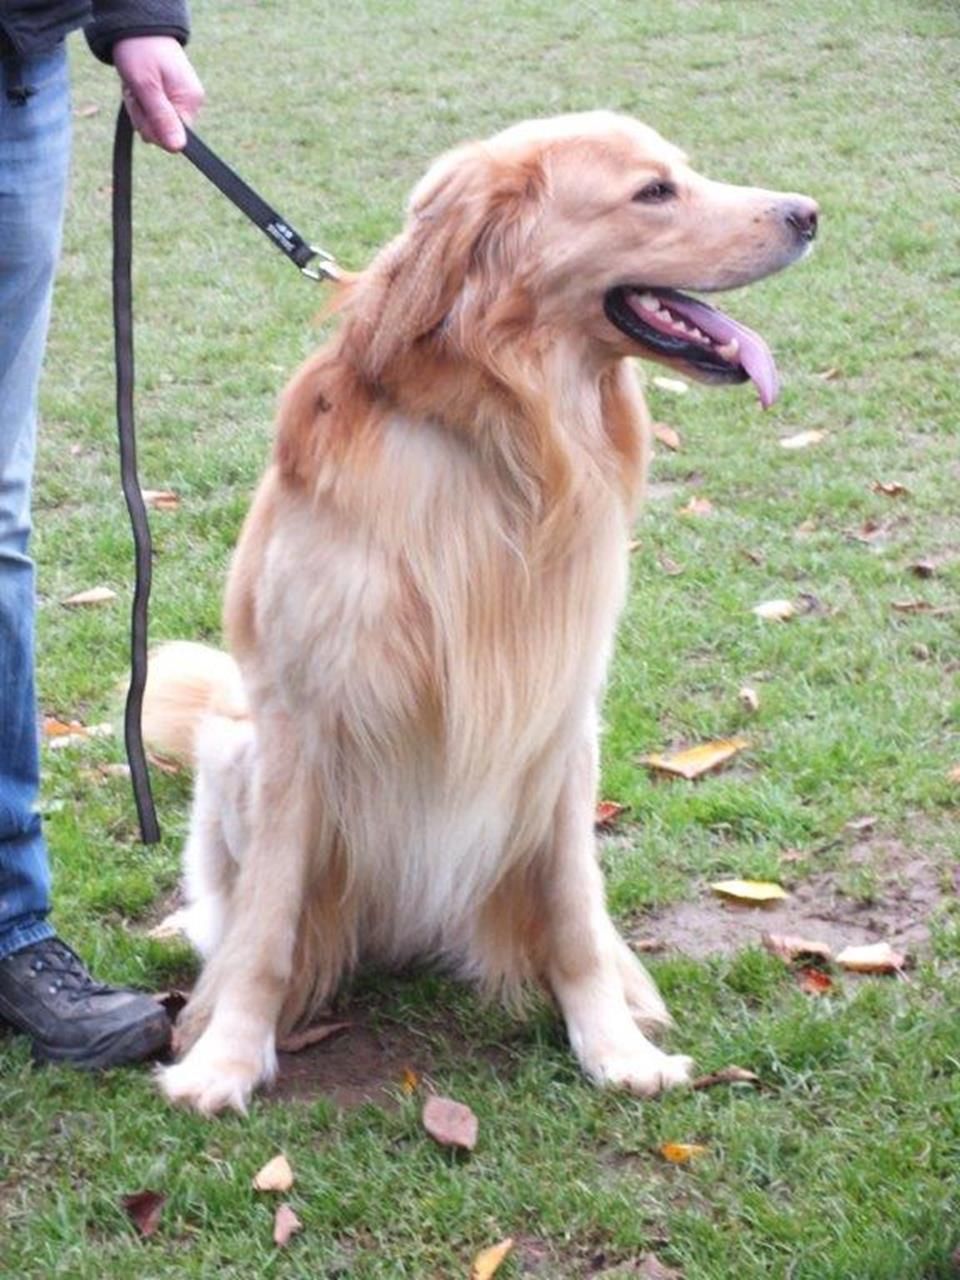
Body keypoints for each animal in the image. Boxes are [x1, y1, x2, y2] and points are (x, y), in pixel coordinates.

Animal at [143, 111, 817, 1114]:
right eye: (654, 191)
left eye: (682, 174)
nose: (810, 213)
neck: (502, 434)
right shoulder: (300, 722)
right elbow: (264, 932)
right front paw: (224, 1058)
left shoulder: (562, 722)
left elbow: (573, 920)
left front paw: (613, 1047)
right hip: (235, 752)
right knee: (230, 916)